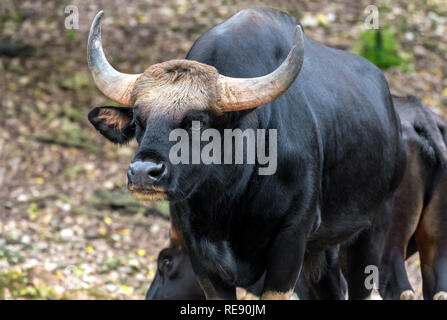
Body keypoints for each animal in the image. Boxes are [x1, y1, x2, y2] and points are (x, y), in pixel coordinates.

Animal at [88, 8, 406, 300]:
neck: (228, 202)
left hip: (372, 232)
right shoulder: (200, 256)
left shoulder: (290, 243)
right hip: (321, 252)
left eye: (197, 121)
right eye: (139, 121)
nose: (143, 172)